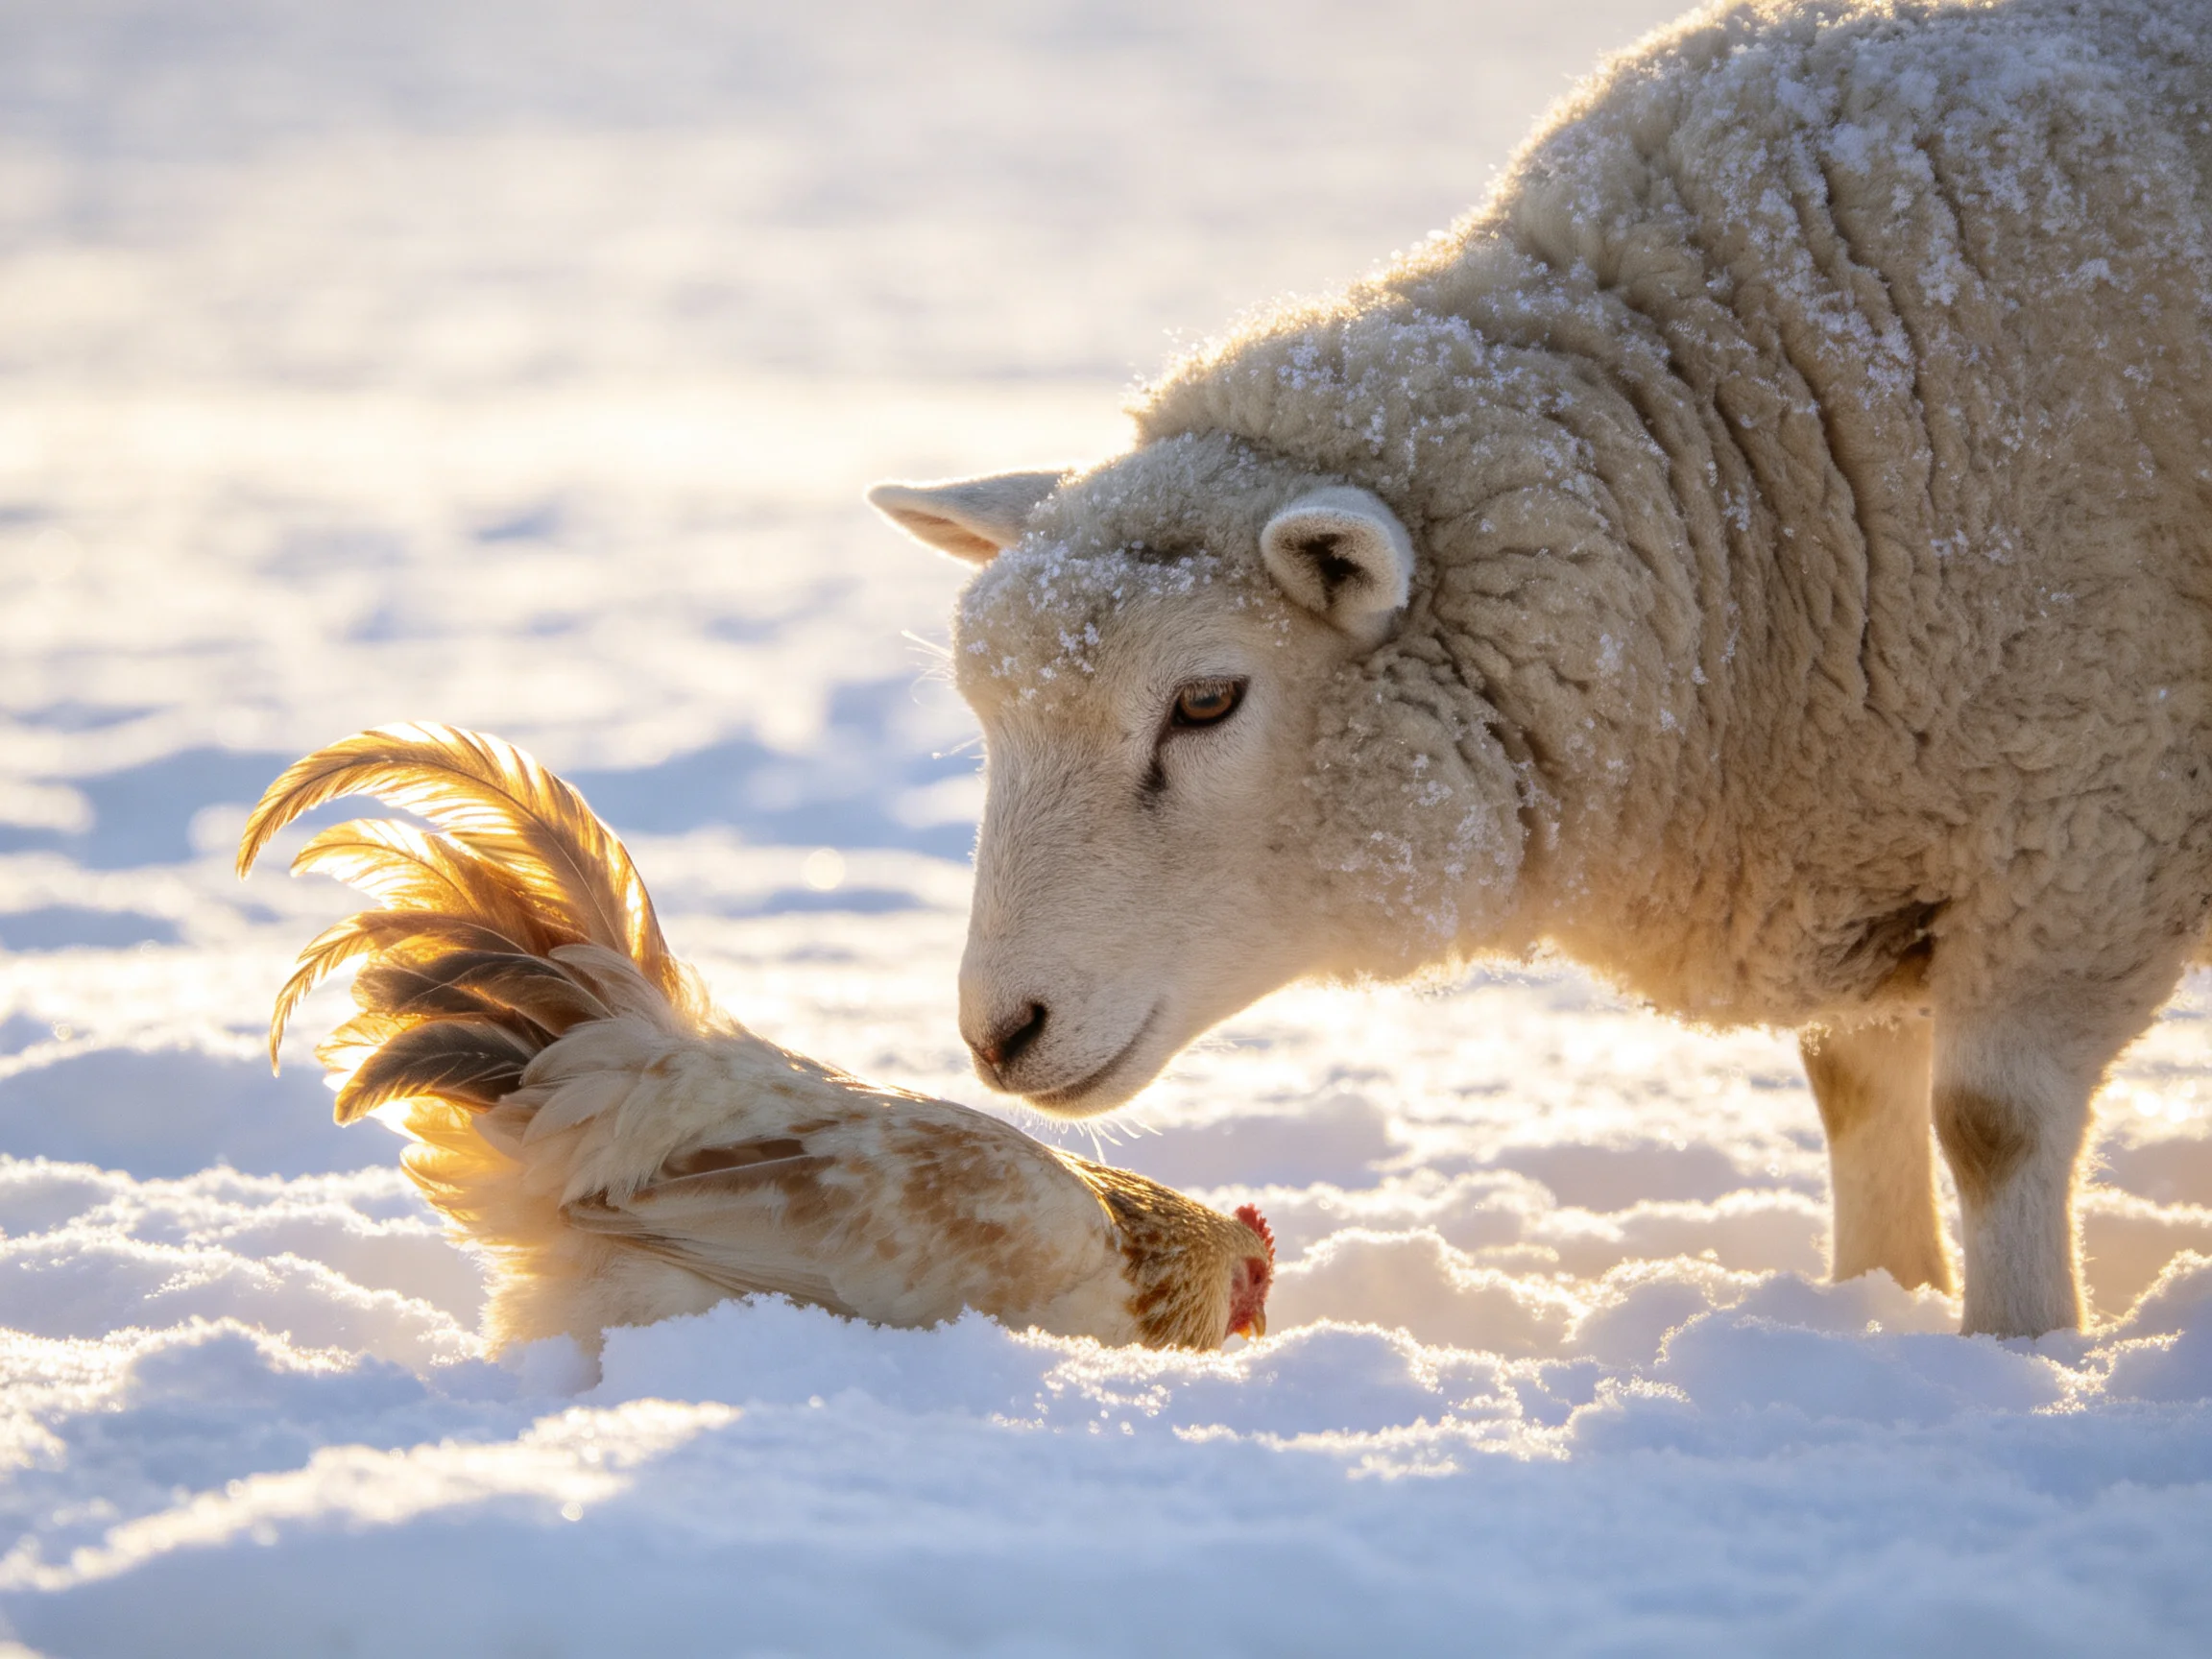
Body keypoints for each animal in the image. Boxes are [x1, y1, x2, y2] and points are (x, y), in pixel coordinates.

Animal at [866, 0, 2212, 1340]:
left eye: (1205, 700)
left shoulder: (2085, 834)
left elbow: (1993, 1125)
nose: (999, 1034)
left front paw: (2017, 1352)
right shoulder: (1864, 848)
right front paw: (1879, 1301)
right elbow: (1855, 1089)